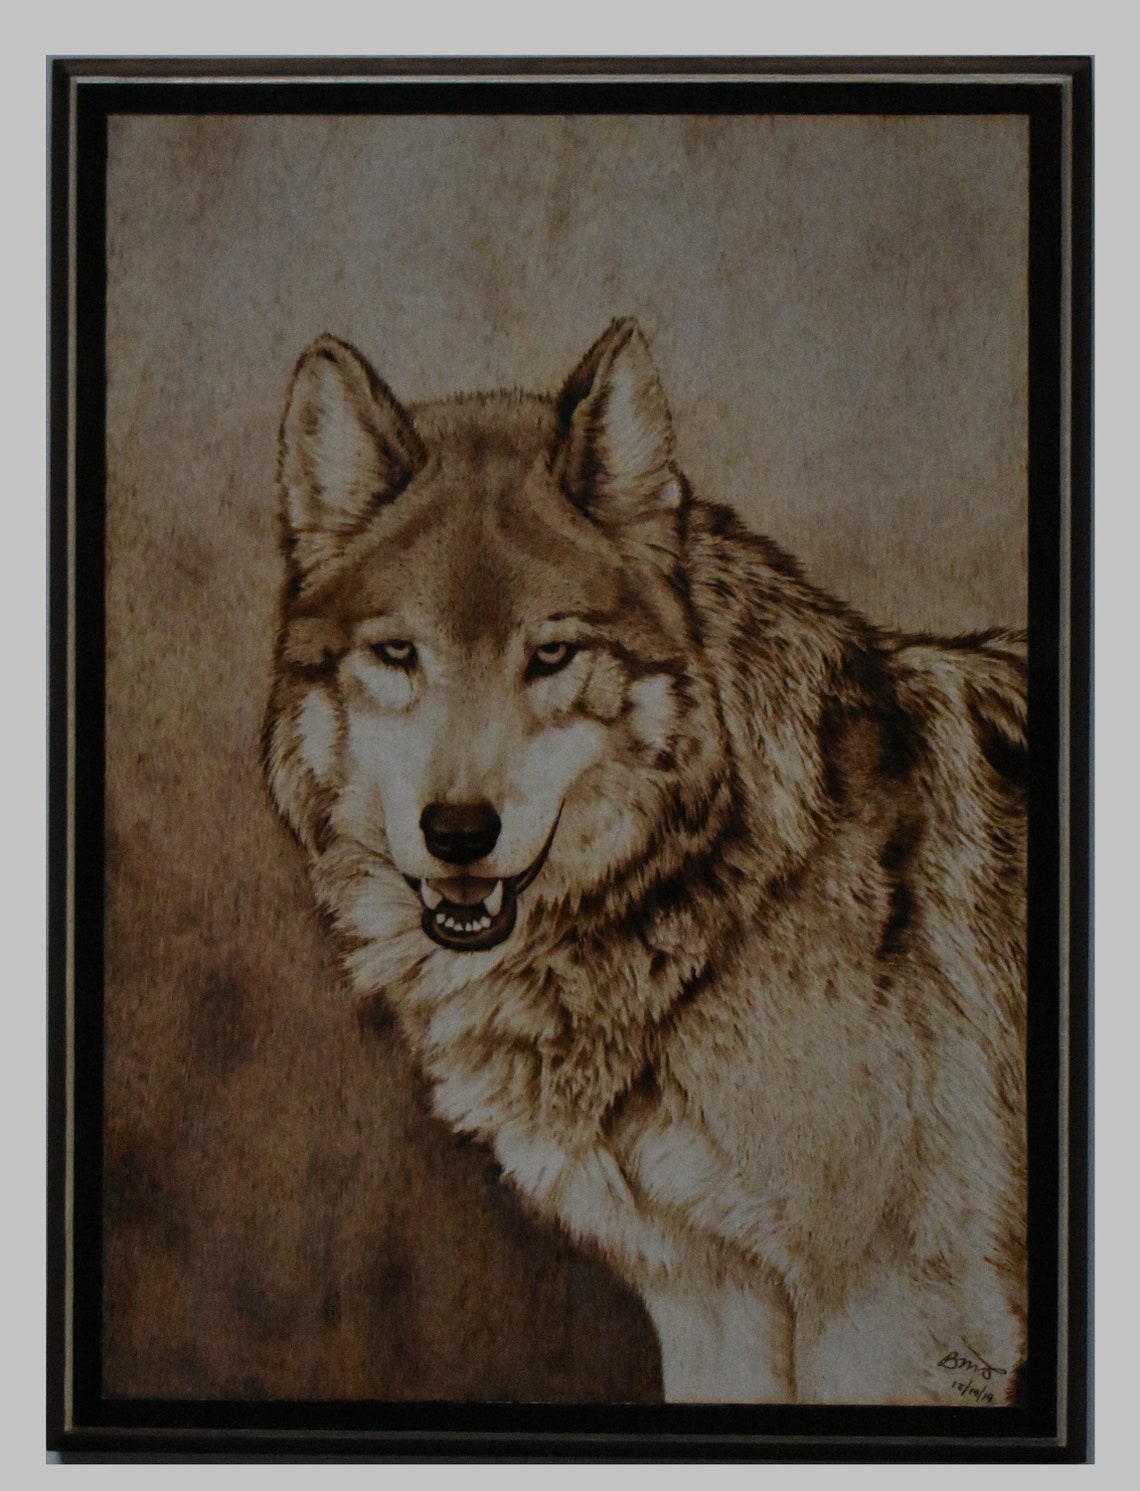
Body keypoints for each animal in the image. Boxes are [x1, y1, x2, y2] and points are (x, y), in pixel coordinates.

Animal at [263, 319, 1028, 1405]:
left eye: (553, 655)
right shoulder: (712, 1297)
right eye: (399, 654)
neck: (728, 889)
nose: (458, 831)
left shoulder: (889, 1311)